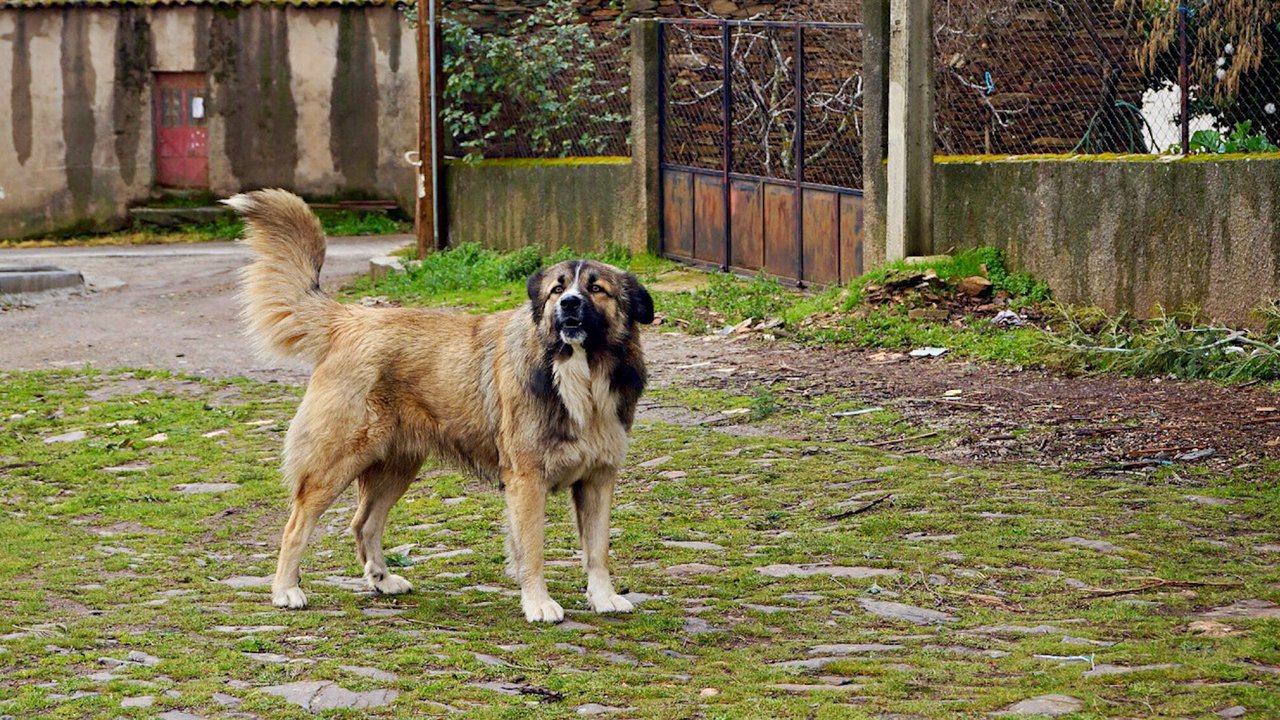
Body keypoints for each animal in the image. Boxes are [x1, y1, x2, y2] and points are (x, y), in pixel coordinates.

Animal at [225, 188, 655, 620]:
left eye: (597, 289)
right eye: (557, 289)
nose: (568, 304)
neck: (579, 373)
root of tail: (349, 319)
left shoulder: (598, 478)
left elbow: (597, 550)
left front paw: (603, 597)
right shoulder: (527, 480)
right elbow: (532, 551)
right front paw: (538, 603)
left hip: (397, 465)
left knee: (364, 523)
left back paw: (382, 580)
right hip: (336, 461)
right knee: (296, 524)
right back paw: (285, 589)